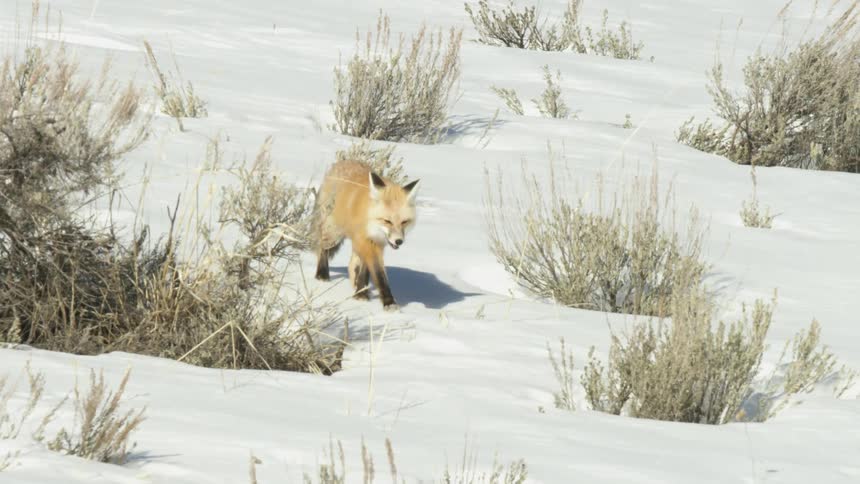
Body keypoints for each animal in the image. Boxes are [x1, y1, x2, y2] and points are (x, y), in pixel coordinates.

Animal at [313, 160, 420, 311]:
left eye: (404, 222)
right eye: (387, 221)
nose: (399, 241)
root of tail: (343, 162)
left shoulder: (375, 243)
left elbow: (365, 270)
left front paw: (361, 293)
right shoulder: (367, 242)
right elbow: (379, 273)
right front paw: (388, 302)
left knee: (351, 264)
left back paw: (355, 285)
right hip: (333, 234)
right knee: (322, 248)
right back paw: (322, 275)